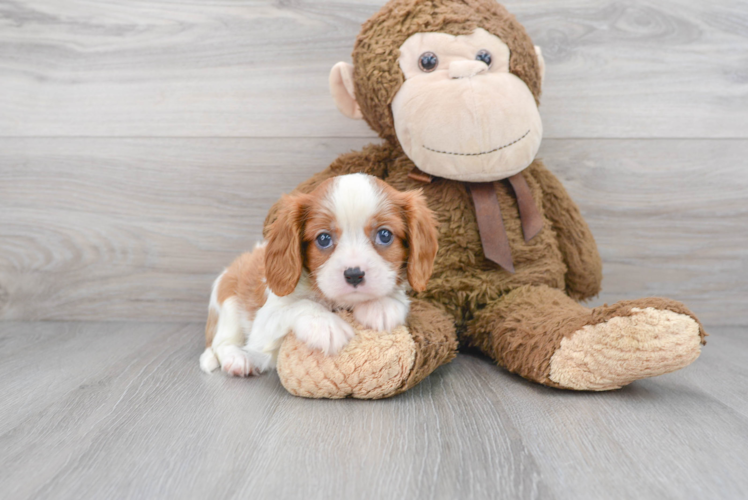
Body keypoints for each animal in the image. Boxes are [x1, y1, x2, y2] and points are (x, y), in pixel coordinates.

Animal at [199, 174, 438, 376]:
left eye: (385, 235)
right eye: (323, 239)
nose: (354, 275)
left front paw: (381, 305)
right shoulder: (265, 323)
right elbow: (301, 305)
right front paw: (326, 325)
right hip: (227, 301)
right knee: (221, 343)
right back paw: (238, 359)